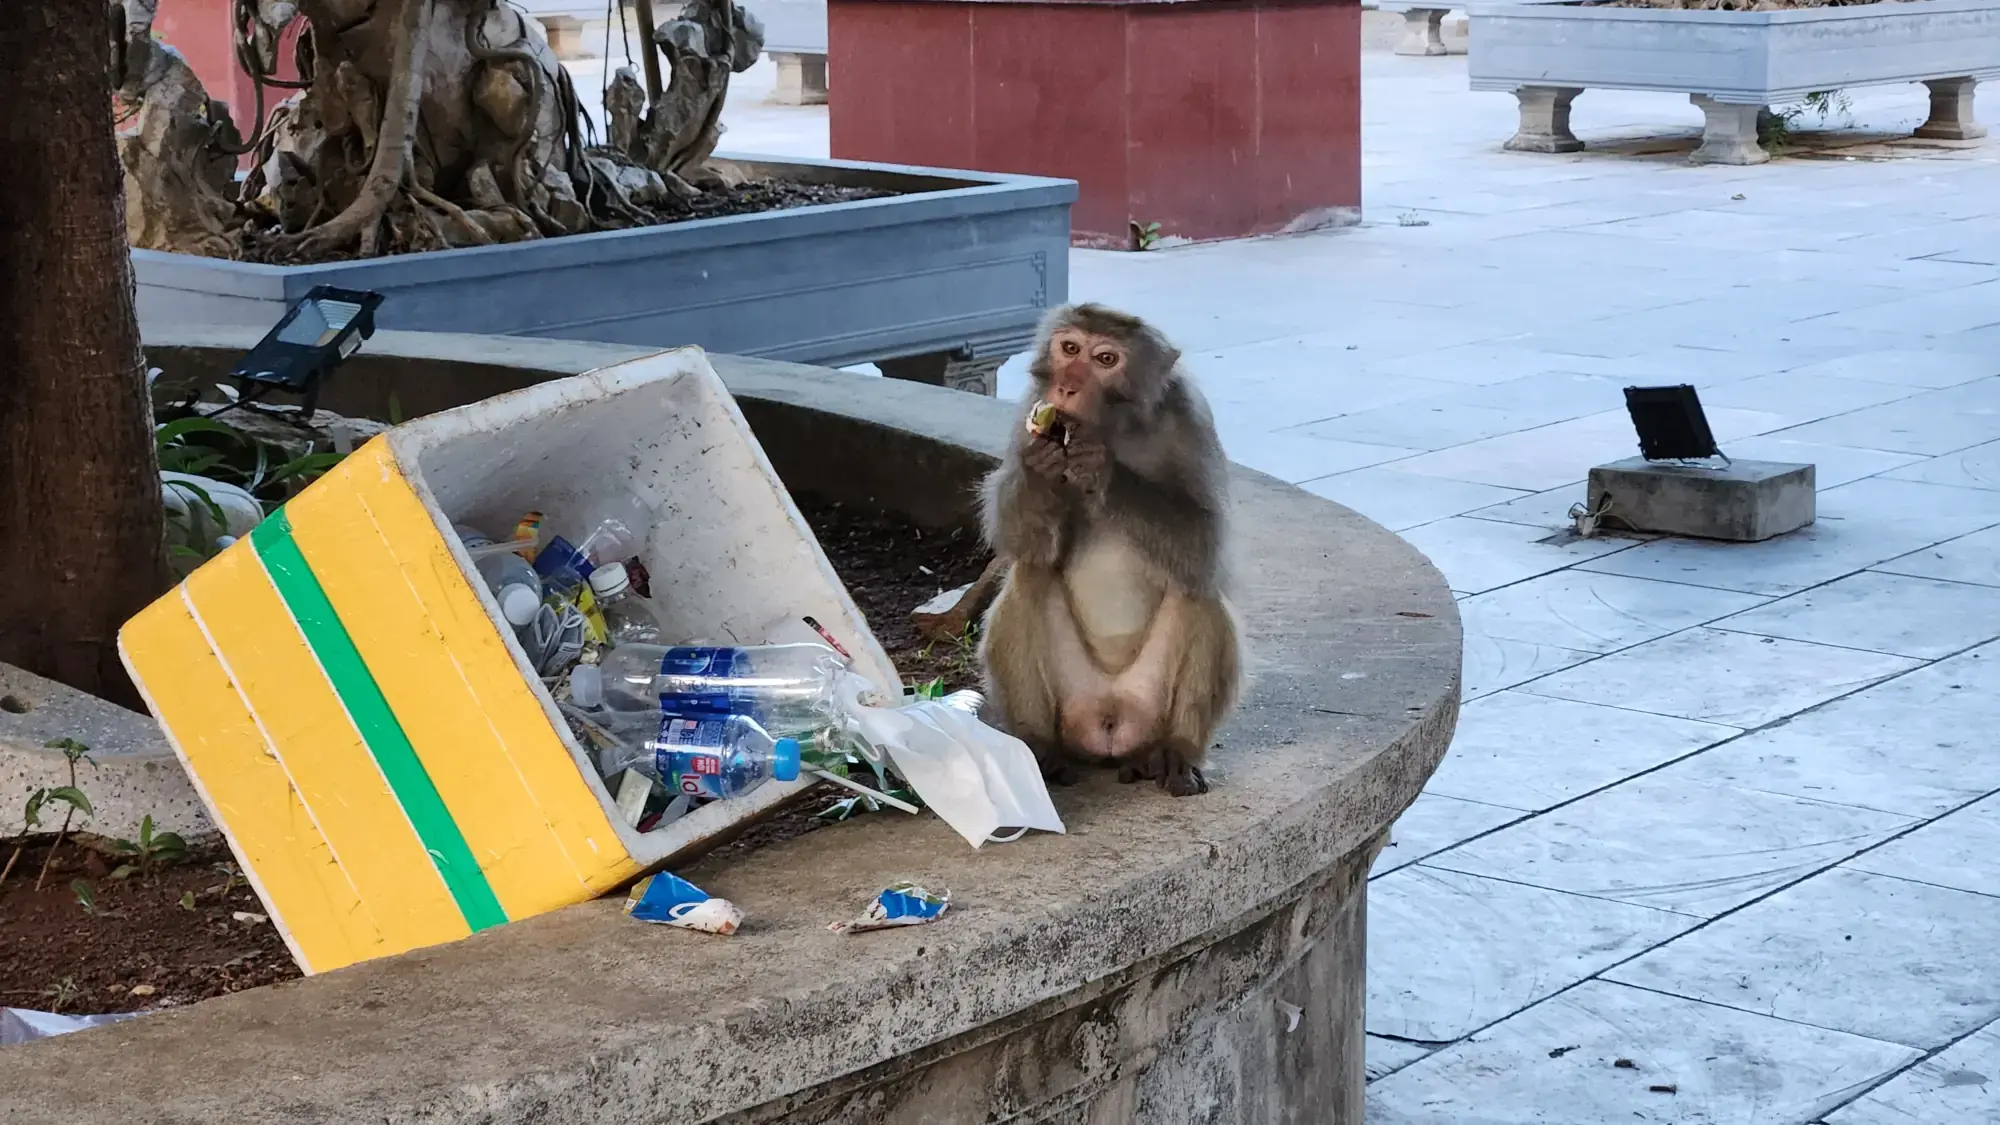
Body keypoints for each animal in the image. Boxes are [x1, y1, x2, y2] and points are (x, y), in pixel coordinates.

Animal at [977, 303, 1242, 797]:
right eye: (1069, 348)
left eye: (1105, 359)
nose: (1066, 387)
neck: (1113, 428)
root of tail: (1109, 724)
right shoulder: (1029, 406)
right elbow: (1018, 541)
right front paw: (1041, 467)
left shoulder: (1191, 416)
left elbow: (1205, 542)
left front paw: (1103, 470)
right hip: (1072, 701)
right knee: (1030, 574)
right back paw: (1041, 749)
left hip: (1148, 705)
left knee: (1196, 588)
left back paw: (1176, 752)